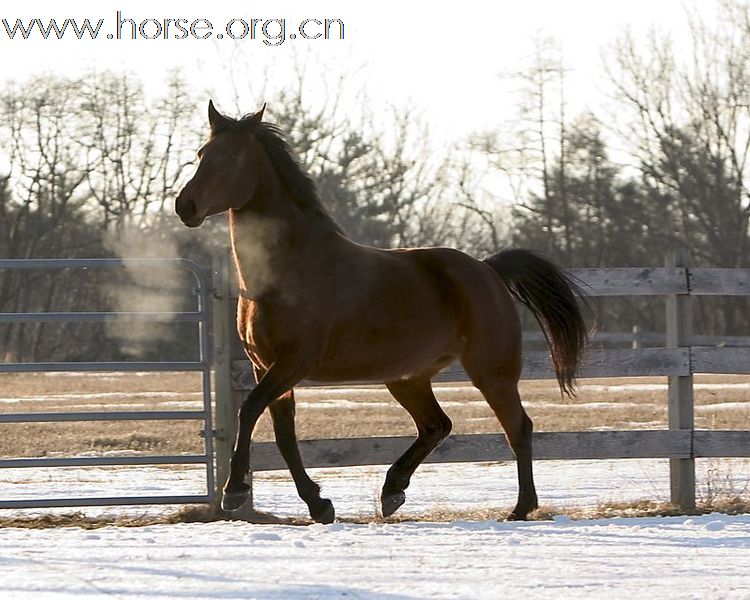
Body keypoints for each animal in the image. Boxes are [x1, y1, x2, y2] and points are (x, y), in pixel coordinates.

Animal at [176, 101, 588, 524]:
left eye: (233, 156)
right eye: (202, 154)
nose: (184, 206)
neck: (290, 269)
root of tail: (487, 268)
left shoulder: (292, 363)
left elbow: (248, 411)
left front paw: (234, 492)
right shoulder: (265, 367)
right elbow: (283, 435)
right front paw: (319, 505)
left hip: (491, 371)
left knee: (517, 427)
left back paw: (521, 508)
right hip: (408, 377)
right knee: (436, 425)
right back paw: (392, 491)